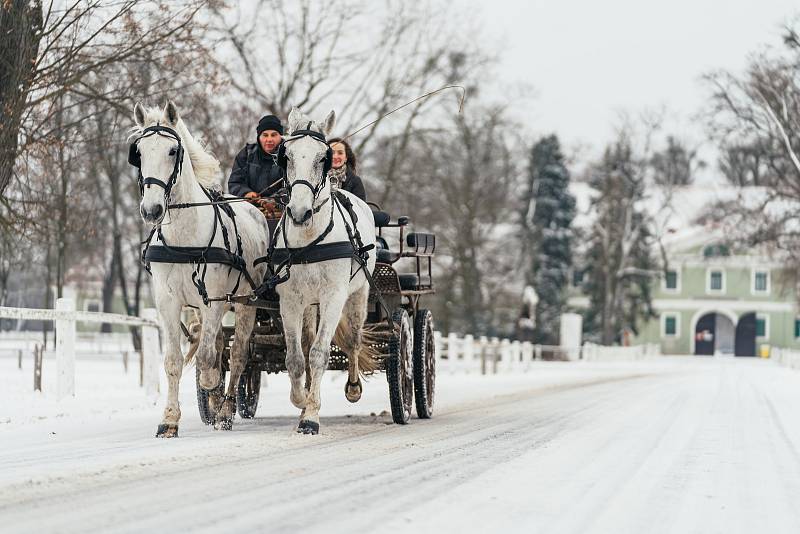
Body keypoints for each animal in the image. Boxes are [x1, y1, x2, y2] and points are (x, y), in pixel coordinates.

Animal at [131, 101, 268, 440]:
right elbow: (174, 362)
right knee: (219, 346)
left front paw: (216, 400)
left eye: (172, 151)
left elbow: (208, 361)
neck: (185, 238)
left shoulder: (215, 301)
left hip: (244, 303)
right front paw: (169, 420)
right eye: (139, 152)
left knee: (238, 353)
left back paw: (227, 409)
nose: (151, 210)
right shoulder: (168, 302)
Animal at [276, 108, 380, 436]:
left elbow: (319, 354)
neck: (309, 240)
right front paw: (301, 401)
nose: (299, 212)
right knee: (307, 342)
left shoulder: (334, 297)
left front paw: (311, 417)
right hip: (310, 304)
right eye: (286, 156)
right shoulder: (290, 300)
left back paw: (353, 387)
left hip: (358, 295)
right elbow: (296, 357)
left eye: (323, 157)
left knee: (354, 342)